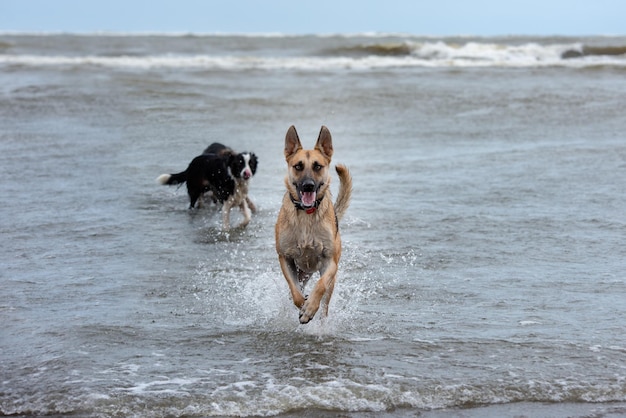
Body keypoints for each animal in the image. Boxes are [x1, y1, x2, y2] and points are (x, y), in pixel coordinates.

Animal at [272, 125, 352, 324]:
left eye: (317, 166)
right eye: (298, 166)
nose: (308, 185)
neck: (306, 215)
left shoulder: (330, 262)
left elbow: (321, 285)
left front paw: (309, 309)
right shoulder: (285, 258)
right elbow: (295, 293)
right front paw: (304, 305)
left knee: (325, 302)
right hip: (302, 273)